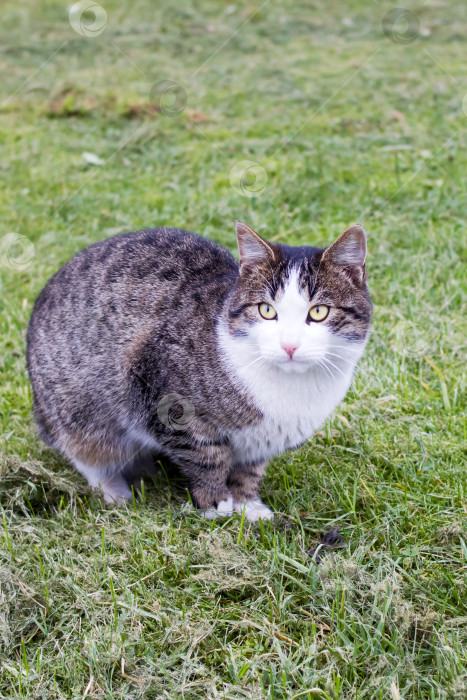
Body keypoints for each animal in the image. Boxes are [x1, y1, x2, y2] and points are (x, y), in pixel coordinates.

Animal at [26, 221, 372, 524]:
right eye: (266, 310)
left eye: (318, 312)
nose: (289, 345)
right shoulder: (159, 391)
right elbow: (205, 455)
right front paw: (214, 502)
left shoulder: (264, 439)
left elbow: (249, 471)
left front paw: (247, 504)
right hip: (76, 407)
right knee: (89, 453)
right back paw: (114, 488)